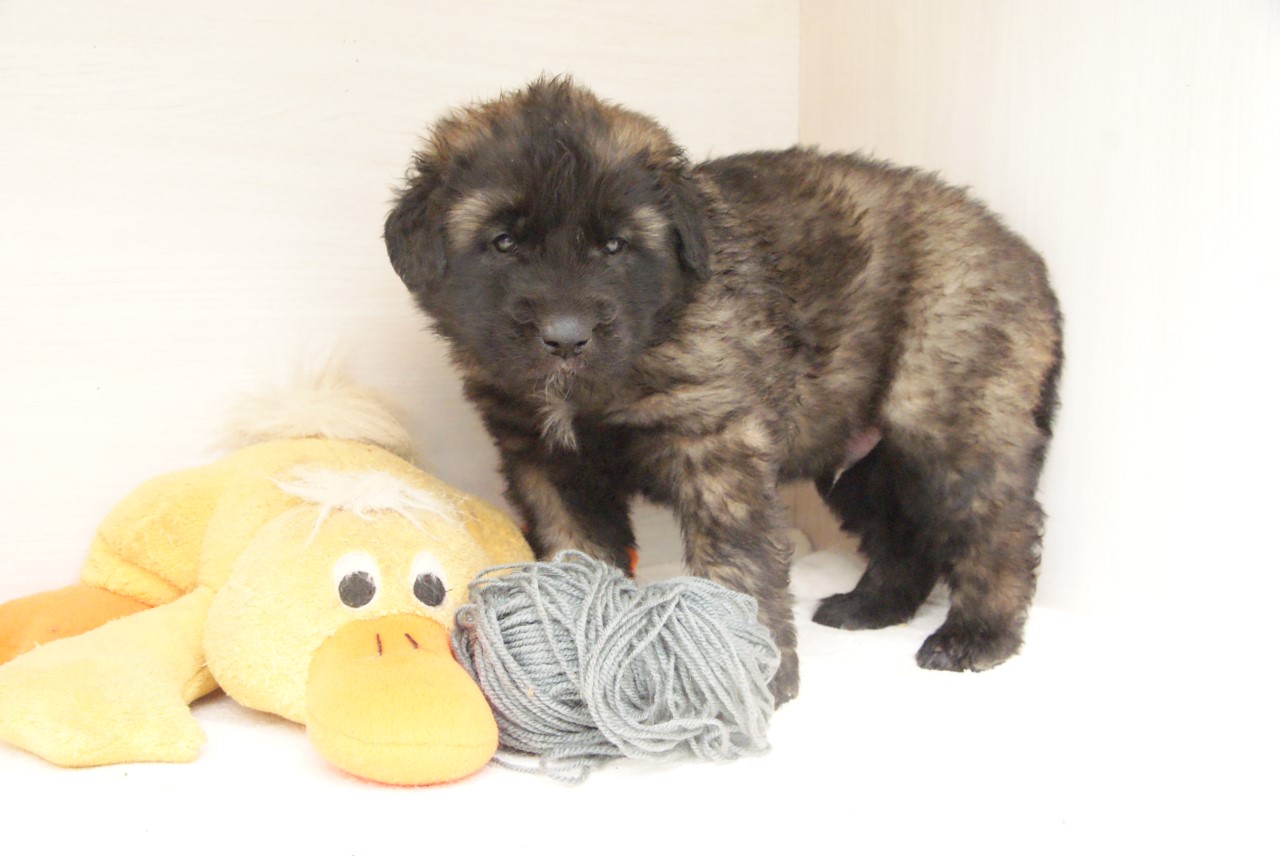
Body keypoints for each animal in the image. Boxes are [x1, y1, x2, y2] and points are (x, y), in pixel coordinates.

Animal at [384, 77, 1063, 704]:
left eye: (615, 245)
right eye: (504, 242)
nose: (566, 337)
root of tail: (1024, 254)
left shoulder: (717, 447)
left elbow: (737, 562)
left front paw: (752, 675)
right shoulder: (549, 465)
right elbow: (575, 559)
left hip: (948, 423)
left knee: (1000, 527)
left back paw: (977, 636)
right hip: (864, 460)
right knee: (905, 536)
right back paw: (869, 607)